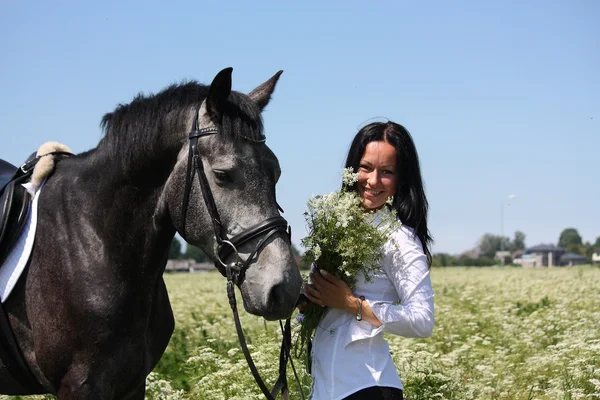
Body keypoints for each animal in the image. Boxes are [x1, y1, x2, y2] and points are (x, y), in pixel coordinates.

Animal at [0, 67, 300, 398]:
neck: (92, 245)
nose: (284, 288)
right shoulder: (78, 386)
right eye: (223, 174)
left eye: (276, 172)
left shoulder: (134, 383)